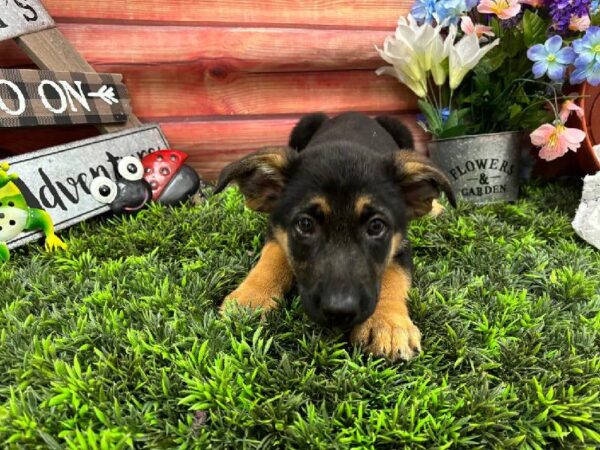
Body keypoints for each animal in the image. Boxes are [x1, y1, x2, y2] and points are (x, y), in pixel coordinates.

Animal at [216, 113, 454, 362]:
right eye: (305, 224)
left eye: (376, 226)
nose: (340, 312)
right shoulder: (276, 223)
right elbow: (273, 255)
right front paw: (251, 297)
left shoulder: (402, 242)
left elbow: (395, 275)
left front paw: (387, 322)